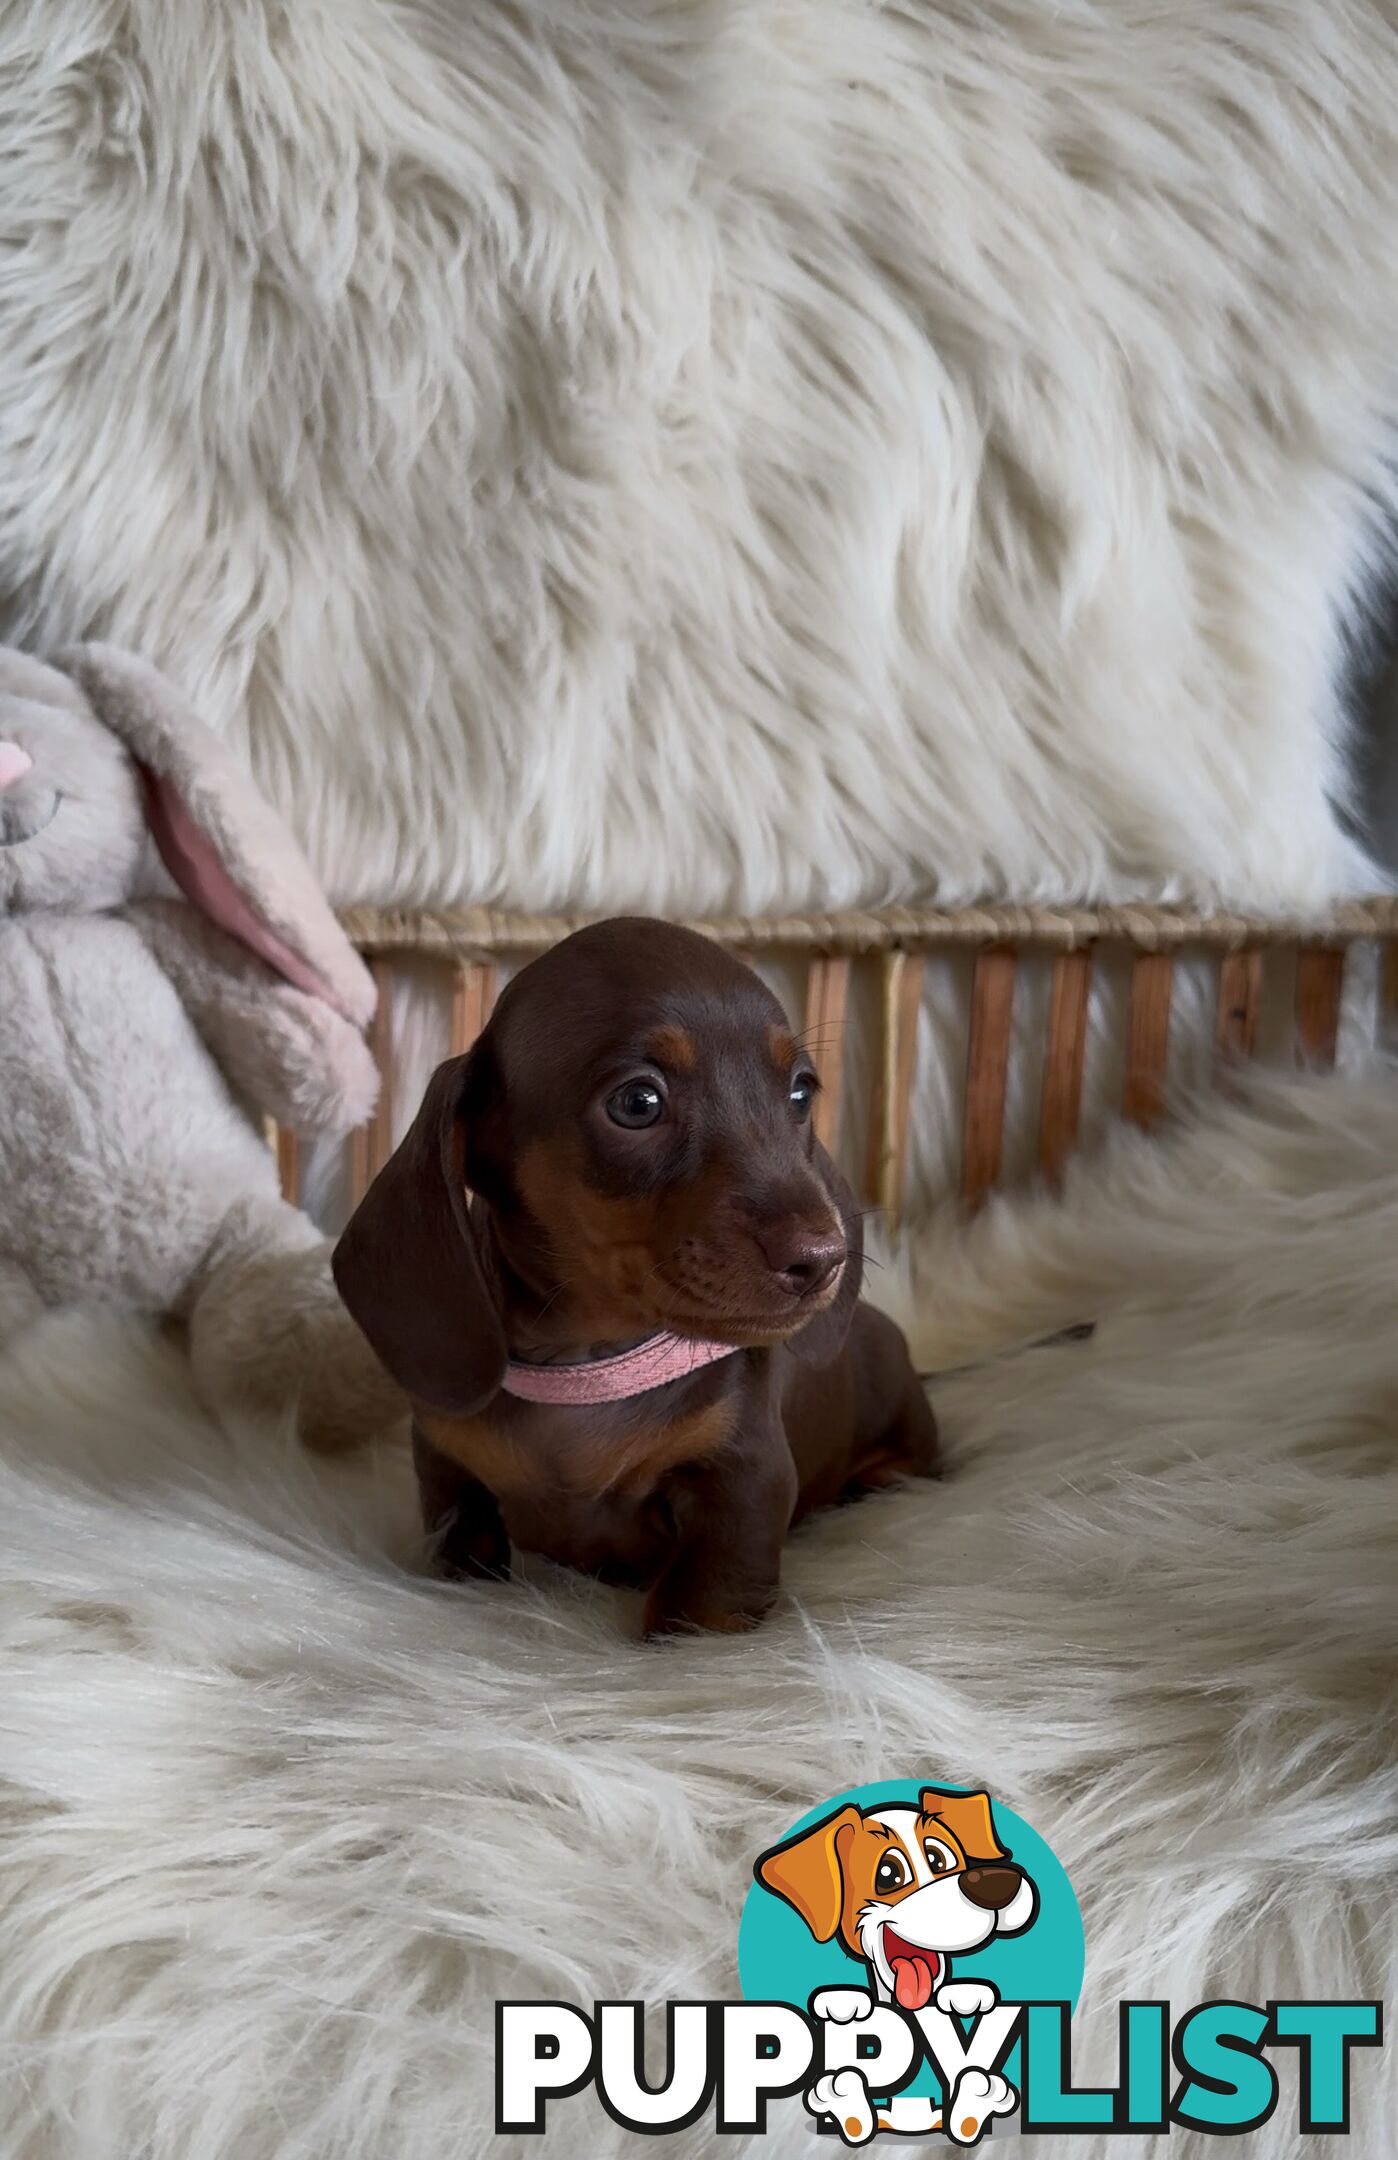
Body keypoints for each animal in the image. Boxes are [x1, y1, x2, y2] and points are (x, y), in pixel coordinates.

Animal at [332, 915, 933, 1632]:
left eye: (800, 1091)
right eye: (639, 1102)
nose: (822, 1258)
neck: (589, 1372)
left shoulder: (743, 1480)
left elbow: (700, 1606)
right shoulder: (449, 1471)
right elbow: (463, 1553)